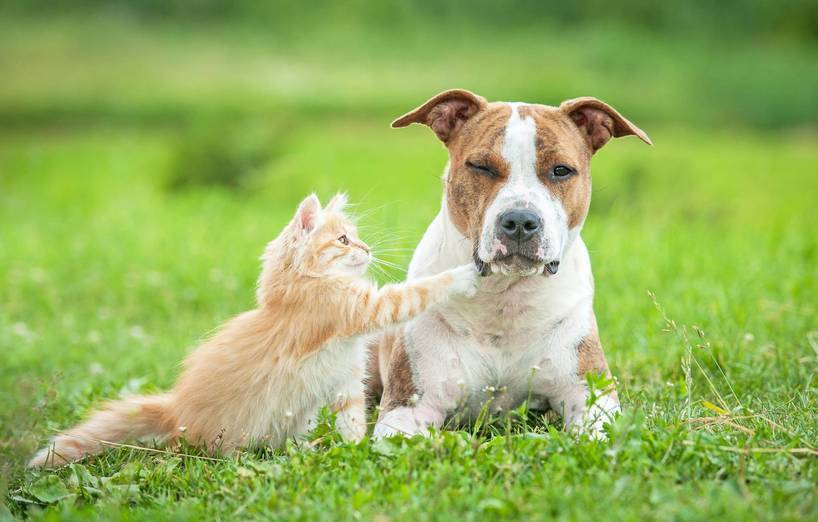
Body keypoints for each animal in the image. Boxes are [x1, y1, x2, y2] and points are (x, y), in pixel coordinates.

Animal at [30, 193, 478, 466]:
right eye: (343, 240)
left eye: (355, 237)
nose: (366, 250)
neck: (303, 285)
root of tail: (173, 407)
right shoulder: (361, 309)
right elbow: (416, 292)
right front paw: (464, 275)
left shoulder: (346, 381)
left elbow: (351, 419)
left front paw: (354, 452)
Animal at [366, 88, 648, 434]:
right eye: (481, 167)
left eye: (561, 170)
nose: (520, 221)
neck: (505, 295)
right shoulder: (406, 407)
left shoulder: (591, 397)